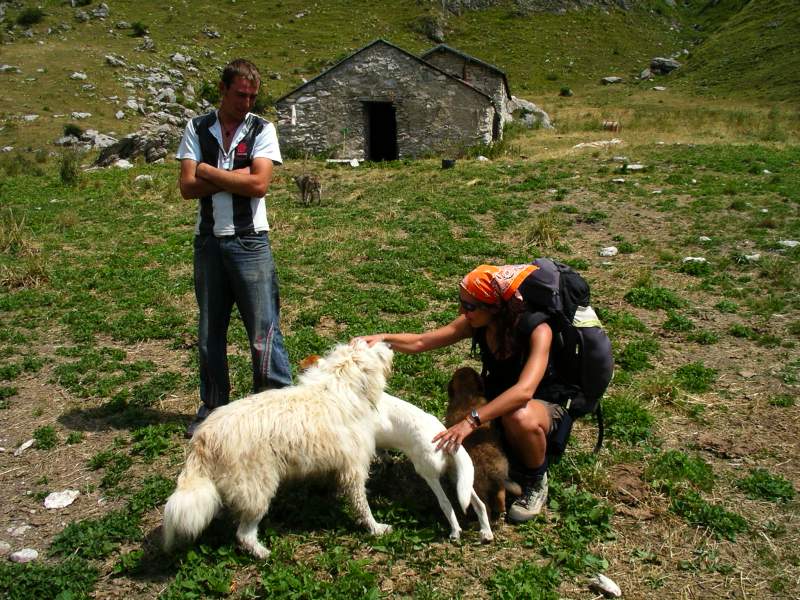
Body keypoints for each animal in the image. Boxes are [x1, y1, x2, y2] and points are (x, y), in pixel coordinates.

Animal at [163, 340, 394, 559]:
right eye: (373, 347)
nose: (389, 344)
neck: (340, 383)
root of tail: (203, 436)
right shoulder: (354, 468)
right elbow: (362, 505)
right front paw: (375, 527)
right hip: (257, 490)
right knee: (243, 534)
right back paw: (261, 553)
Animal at [299, 355, 493, 543]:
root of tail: (446, 437)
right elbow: (382, 454)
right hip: (459, 476)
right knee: (479, 503)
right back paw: (486, 532)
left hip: (428, 473)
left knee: (446, 503)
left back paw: (455, 531)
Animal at [446, 366, 521, 519]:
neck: (467, 393)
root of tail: (492, 470)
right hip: (499, 484)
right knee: (500, 497)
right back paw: (501, 511)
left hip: (478, 489)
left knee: (485, 508)